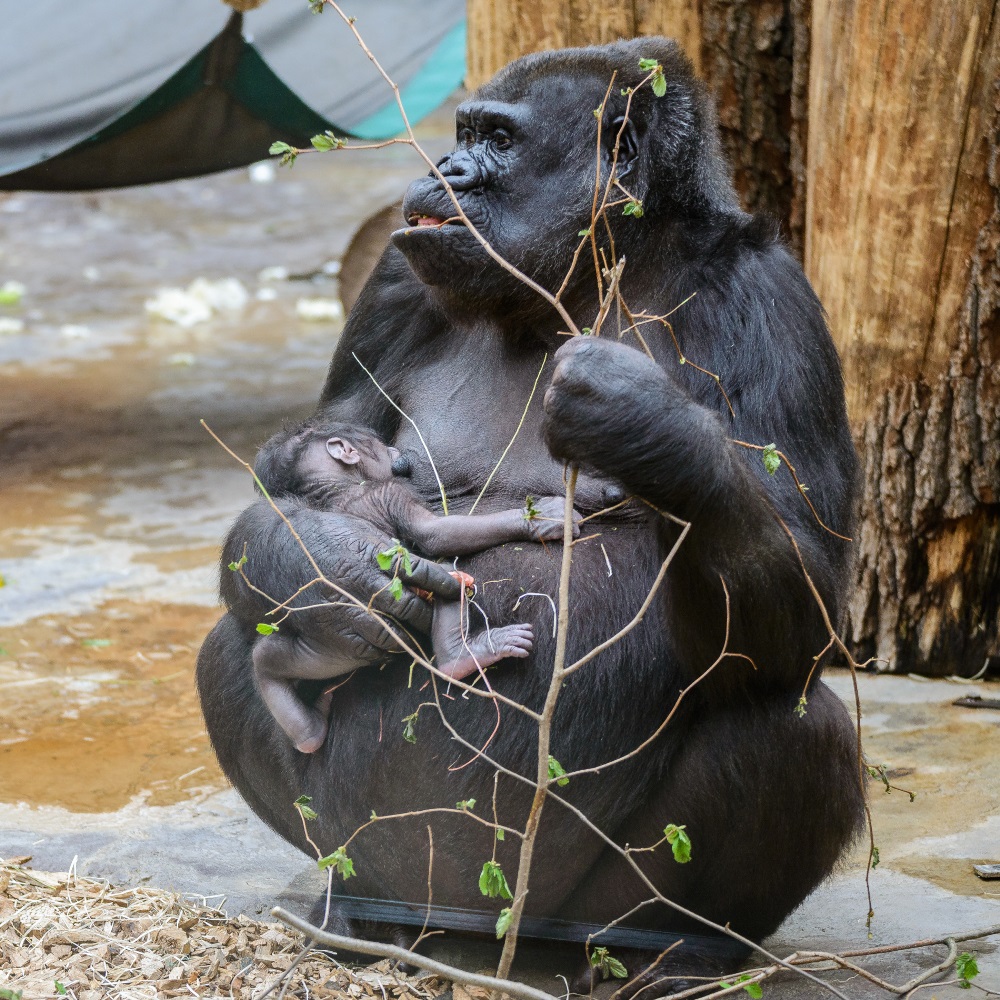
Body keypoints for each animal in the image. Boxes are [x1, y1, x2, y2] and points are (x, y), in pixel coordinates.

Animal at [250, 418, 584, 752]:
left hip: (328, 650)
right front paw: (539, 519)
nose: (395, 451)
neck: (335, 486)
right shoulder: (392, 491)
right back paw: (462, 657)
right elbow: (437, 533)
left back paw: (307, 730)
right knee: (450, 578)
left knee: (267, 660)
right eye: (379, 445)